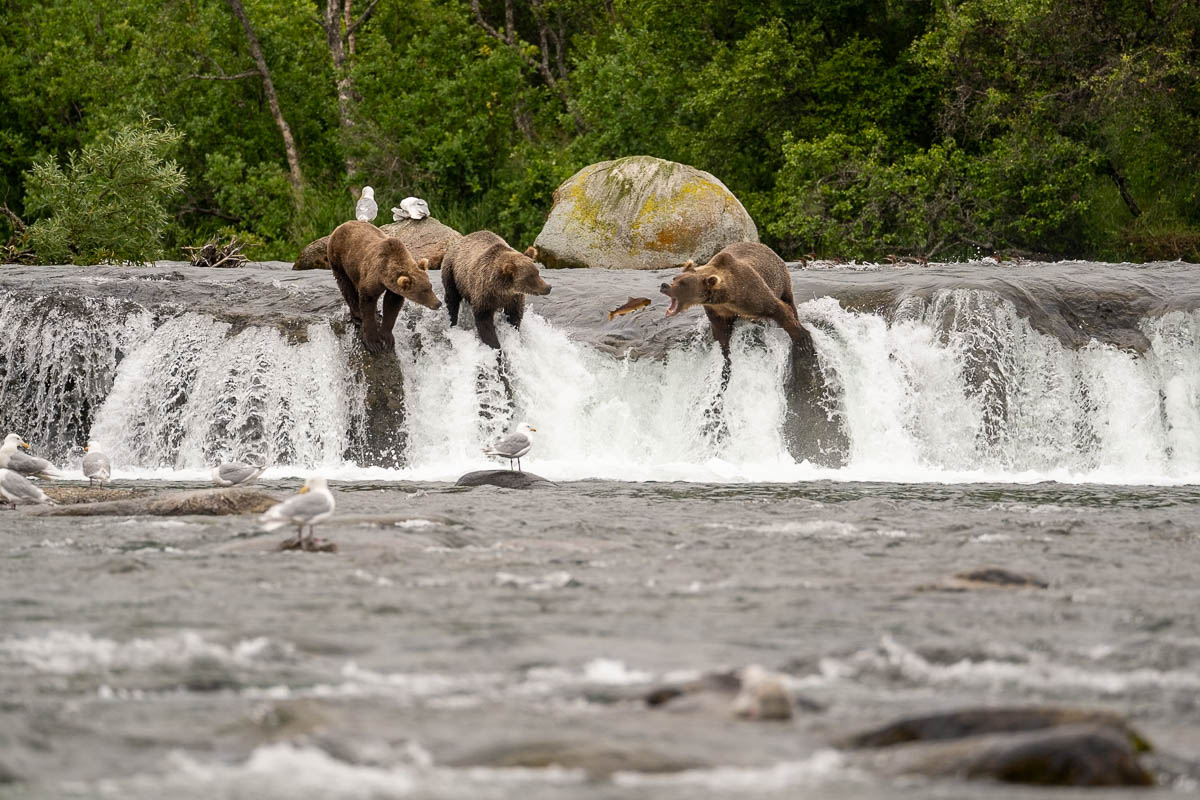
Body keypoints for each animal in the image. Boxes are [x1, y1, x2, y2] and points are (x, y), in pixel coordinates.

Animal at [326, 221, 444, 352]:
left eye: (430, 286)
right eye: (423, 291)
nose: (438, 303)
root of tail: (341, 226)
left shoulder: (394, 289)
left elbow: (391, 306)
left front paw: (387, 338)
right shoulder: (372, 276)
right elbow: (368, 302)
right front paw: (373, 342)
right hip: (339, 259)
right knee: (345, 286)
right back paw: (357, 315)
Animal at [657, 241, 816, 359]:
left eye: (683, 283)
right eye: (675, 278)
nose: (664, 285)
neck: (728, 297)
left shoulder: (751, 293)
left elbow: (779, 309)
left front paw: (803, 341)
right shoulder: (718, 309)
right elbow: (721, 329)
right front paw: (724, 349)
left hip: (782, 279)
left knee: (789, 300)